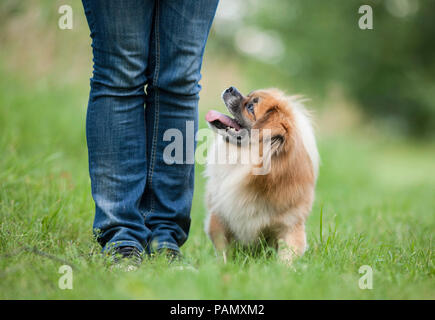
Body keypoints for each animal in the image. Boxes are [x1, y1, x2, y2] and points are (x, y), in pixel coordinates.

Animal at [203, 86, 318, 264]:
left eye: (251, 107)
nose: (231, 88)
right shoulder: (219, 219)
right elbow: (223, 251)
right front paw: (224, 267)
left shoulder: (290, 226)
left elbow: (287, 256)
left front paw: (281, 269)